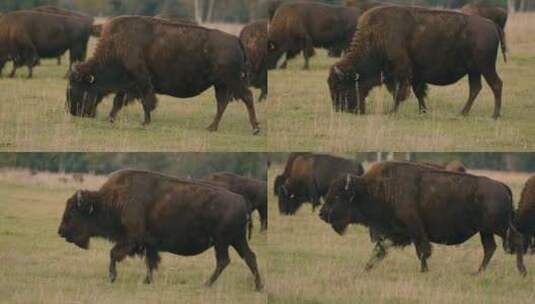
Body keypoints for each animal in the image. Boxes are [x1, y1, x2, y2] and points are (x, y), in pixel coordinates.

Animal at [58, 169, 264, 290]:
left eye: (72, 211)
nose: (61, 231)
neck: (113, 200)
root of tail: (242, 200)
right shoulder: (149, 244)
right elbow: (150, 262)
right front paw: (147, 281)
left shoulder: (132, 239)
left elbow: (114, 253)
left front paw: (112, 277)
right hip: (236, 240)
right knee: (250, 257)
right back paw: (258, 287)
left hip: (222, 241)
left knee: (223, 260)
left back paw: (206, 284)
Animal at [67, 16, 262, 134]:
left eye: (78, 86)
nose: (74, 111)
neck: (117, 45)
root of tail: (236, 40)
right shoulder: (128, 84)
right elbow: (119, 102)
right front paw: (111, 118)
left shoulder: (141, 81)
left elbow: (146, 102)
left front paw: (145, 122)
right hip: (221, 84)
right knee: (222, 103)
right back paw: (211, 127)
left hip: (232, 81)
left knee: (247, 97)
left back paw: (254, 129)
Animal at [318, 162, 528, 276]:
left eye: (337, 196)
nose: (322, 213)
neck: (375, 189)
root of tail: (502, 186)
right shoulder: (392, 233)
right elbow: (379, 251)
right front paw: (366, 268)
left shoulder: (416, 230)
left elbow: (422, 252)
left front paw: (424, 271)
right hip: (485, 231)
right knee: (490, 248)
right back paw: (477, 273)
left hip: (498, 227)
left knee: (516, 240)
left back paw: (522, 271)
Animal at [328, 5, 508, 119]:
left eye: (341, 86)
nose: (340, 109)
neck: (377, 36)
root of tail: (492, 25)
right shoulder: (414, 76)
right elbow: (418, 93)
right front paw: (422, 111)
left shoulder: (401, 72)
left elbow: (399, 92)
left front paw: (392, 112)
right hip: (474, 71)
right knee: (475, 88)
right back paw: (463, 113)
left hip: (486, 67)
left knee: (496, 84)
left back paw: (494, 115)